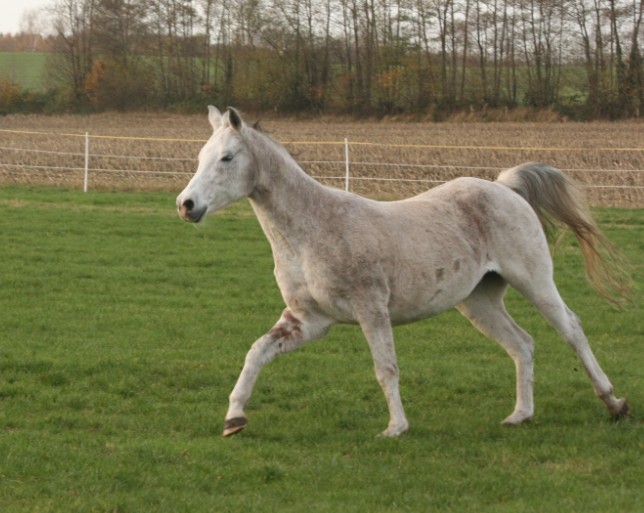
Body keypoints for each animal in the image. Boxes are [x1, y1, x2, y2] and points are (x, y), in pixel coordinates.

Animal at [177, 107, 628, 436]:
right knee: (522, 343)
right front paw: (234, 419)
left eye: (227, 157)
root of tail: (503, 186)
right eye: (200, 157)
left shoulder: (371, 310)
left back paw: (614, 403)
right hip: (479, 301)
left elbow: (386, 367)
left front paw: (396, 428)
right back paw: (521, 415)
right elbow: (257, 352)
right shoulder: (309, 320)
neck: (313, 230)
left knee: (571, 329)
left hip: (534, 281)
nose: (186, 205)